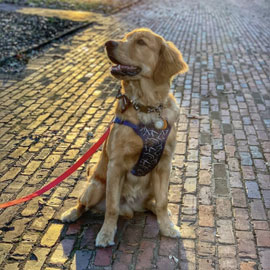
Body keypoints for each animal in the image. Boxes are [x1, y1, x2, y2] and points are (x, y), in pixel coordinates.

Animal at [61, 28, 188, 247]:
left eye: (141, 42)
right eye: (125, 37)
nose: (108, 43)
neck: (146, 107)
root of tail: (130, 208)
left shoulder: (165, 165)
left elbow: (163, 202)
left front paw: (167, 227)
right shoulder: (116, 165)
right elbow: (112, 207)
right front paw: (105, 234)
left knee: (152, 203)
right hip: (95, 186)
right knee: (82, 203)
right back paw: (71, 214)